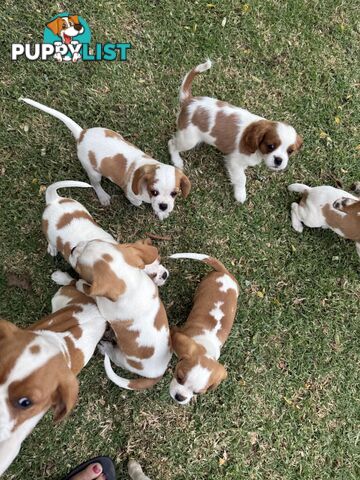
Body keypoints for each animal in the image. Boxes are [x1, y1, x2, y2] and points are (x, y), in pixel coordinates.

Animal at [19, 98, 191, 221]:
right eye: (154, 192)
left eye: (174, 193)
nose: (163, 206)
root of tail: (81, 134)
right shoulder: (130, 193)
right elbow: (137, 201)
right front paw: (144, 205)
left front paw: (161, 212)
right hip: (93, 171)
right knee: (95, 183)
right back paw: (102, 196)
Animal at [41, 179, 169, 284]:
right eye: (152, 276)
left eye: (159, 260)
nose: (164, 275)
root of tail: (53, 199)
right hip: (48, 232)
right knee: (50, 240)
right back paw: (52, 249)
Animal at [167, 60, 302, 202]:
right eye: (270, 146)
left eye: (290, 151)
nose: (279, 160)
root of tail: (189, 101)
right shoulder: (234, 161)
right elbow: (242, 178)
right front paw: (240, 194)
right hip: (189, 139)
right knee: (172, 143)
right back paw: (177, 160)